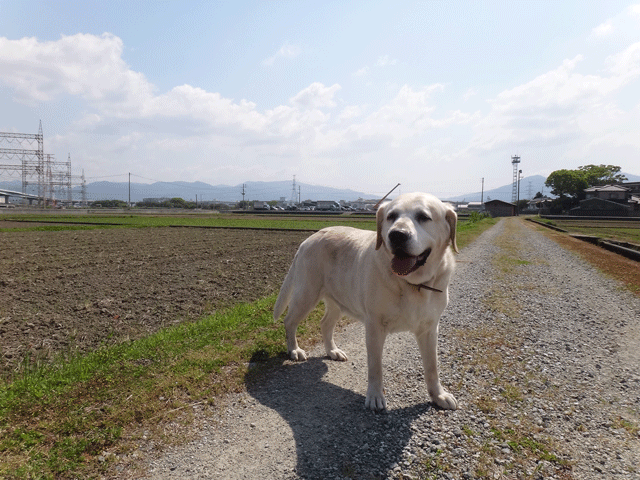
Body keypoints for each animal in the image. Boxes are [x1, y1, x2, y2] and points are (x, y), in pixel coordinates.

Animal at [272, 193, 458, 410]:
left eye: (423, 217)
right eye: (391, 216)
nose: (397, 235)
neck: (413, 284)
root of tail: (309, 238)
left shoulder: (429, 328)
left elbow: (432, 367)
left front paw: (439, 395)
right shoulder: (375, 326)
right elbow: (375, 366)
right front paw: (375, 396)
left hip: (338, 299)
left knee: (325, 323)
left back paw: (332, 351)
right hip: (306, 294)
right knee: (289, 321)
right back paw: (294, 349)